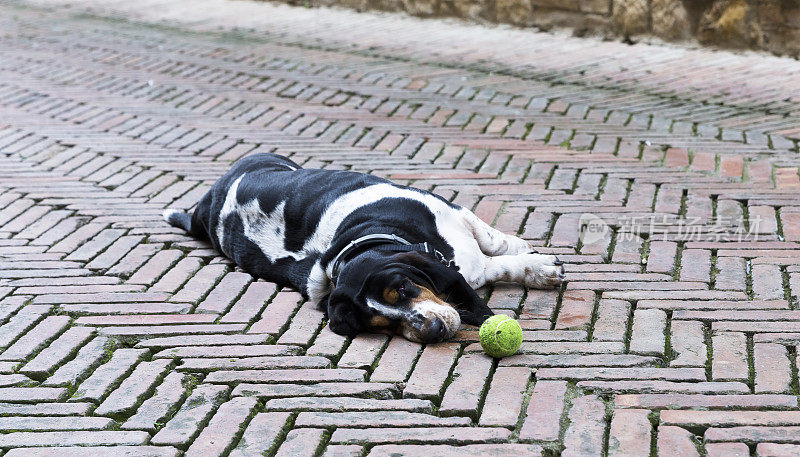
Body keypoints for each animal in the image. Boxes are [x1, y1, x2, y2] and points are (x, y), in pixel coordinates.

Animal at [164, 153, 564, 342]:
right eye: (381, 322)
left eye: (401, 288)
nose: (432, 330)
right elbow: (496, 261)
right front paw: (541, 267)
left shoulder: (453, 213)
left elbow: (494, 241)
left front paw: (531, 254)